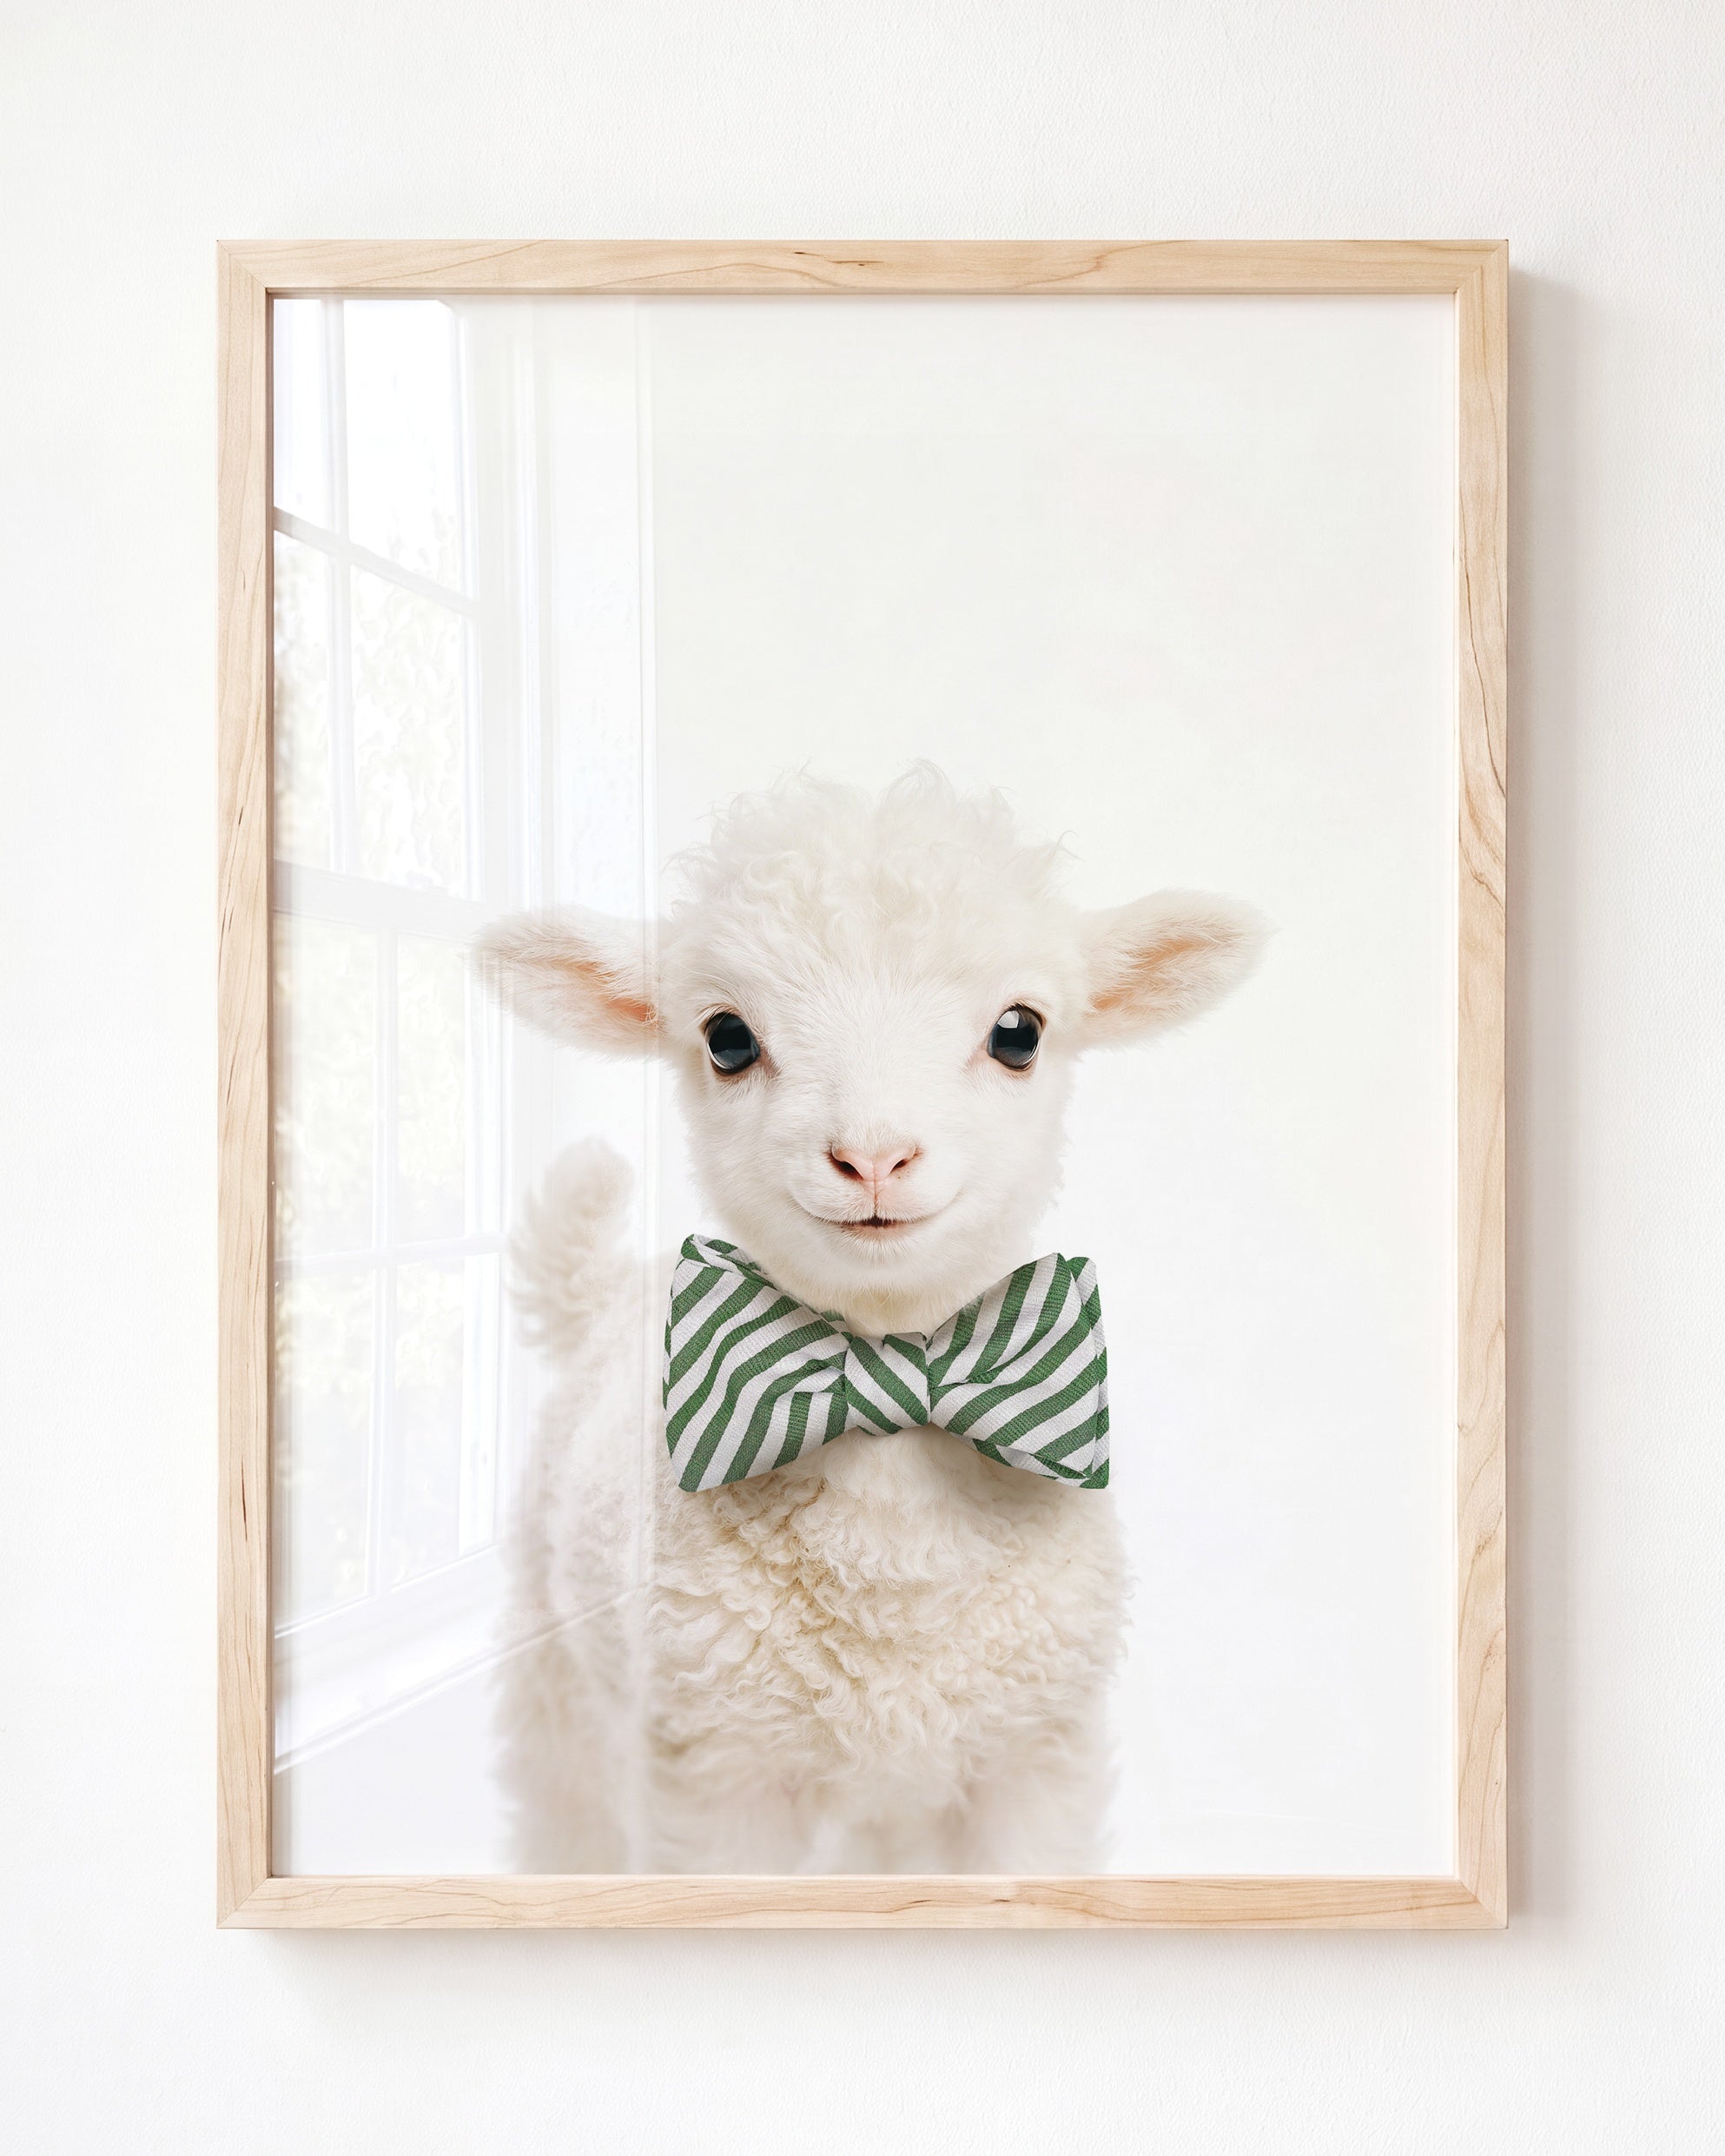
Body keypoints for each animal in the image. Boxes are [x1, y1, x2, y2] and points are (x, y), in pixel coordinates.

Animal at [480, 766, 1261, 1873]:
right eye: (727, 1037)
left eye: (1019, 1031)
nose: (874, 1156)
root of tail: (606, 1288)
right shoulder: (716, 1775)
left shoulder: (1034, 1760)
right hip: (560, 1691)